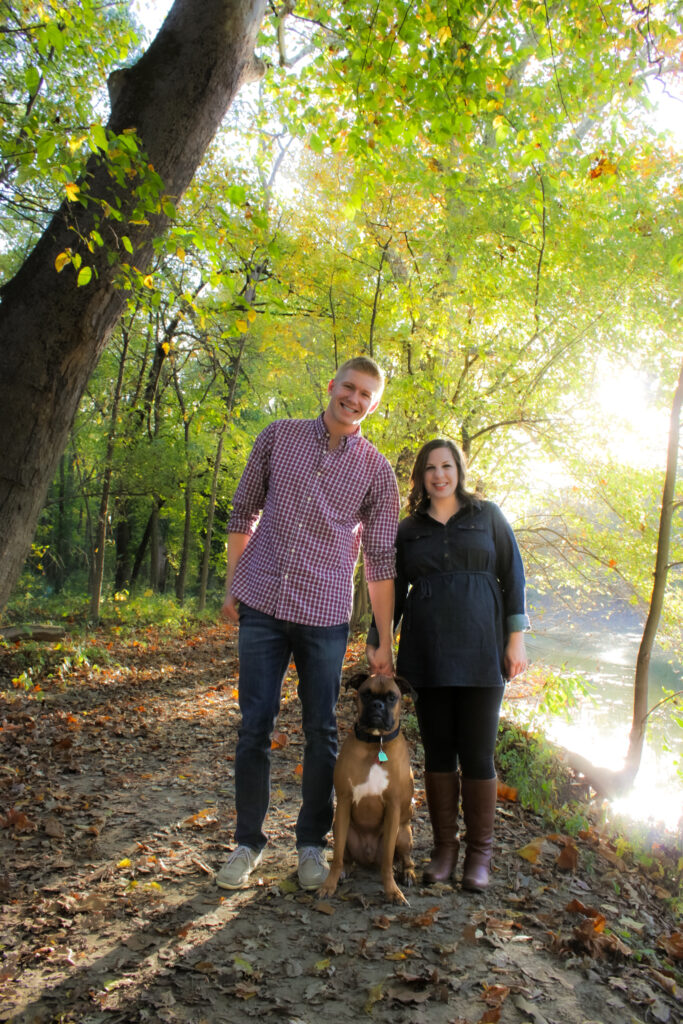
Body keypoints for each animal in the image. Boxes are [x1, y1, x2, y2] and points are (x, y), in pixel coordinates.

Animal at [321, 671, 417, 905]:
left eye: (392, 697)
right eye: (366, 694)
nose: (377, 705)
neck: (376, 742)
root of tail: (368, 858)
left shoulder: (393, 808)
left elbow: (388, 862)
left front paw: (392, 891)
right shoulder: (344, 800)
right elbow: (337, 856)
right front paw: (329, 884)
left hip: (404, 832)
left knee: (404, 858)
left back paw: (408, 873)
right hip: (340, 827)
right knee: (345, 856)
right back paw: (345, 870)